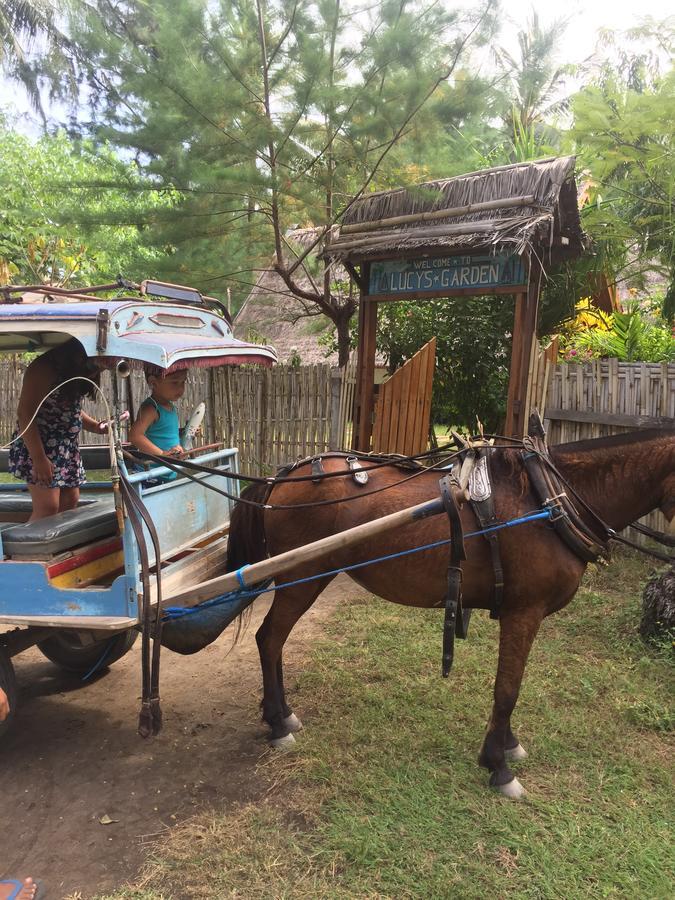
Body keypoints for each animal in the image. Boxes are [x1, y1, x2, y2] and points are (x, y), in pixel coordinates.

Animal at [228, 432, 675, 800]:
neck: (549, 500)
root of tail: (279, 479)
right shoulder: (523, 612)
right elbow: (507, 689)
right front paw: (498, 765)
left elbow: (511, 686)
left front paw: (507, 743)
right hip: (301, 578)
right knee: (270, 639)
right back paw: (278, 723)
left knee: (273, 641)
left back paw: (281, 714)